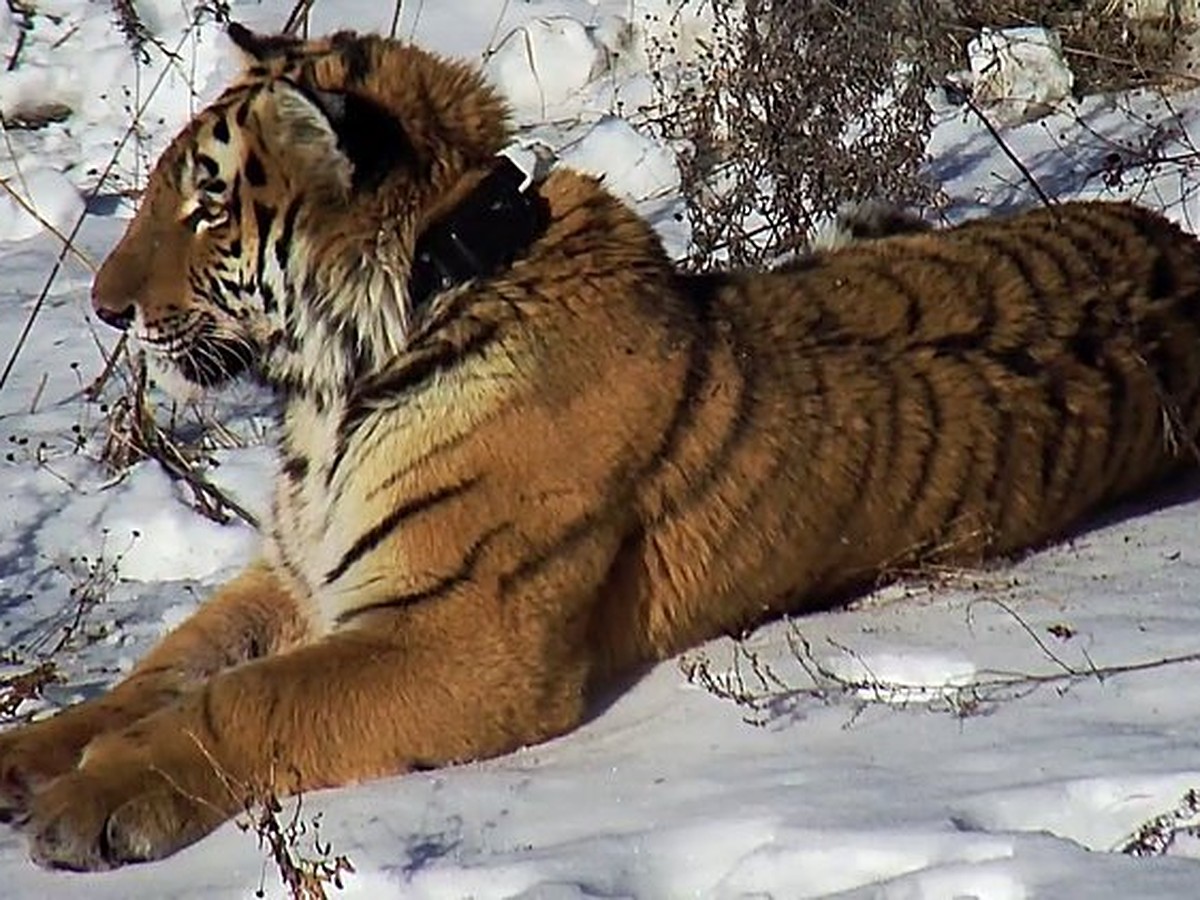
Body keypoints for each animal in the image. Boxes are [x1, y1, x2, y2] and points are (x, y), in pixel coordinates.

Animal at [2, 22, 1200, 873]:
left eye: (205, 210)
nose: (107, 310)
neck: (348, 376)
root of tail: (1175, 239)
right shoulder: (298, 572)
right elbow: (164, 670)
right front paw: (33, 755)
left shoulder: (457, 634)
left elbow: (240, 698)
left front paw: (91, 802)